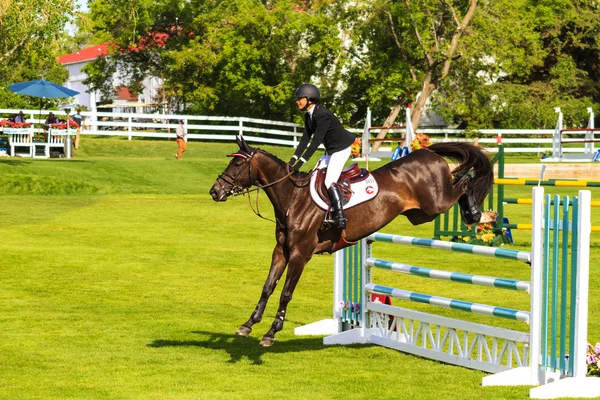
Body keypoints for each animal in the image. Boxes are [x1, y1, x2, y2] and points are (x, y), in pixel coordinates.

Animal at [210, 135, 492, 346]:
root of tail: (428, 152)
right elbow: (268, 287)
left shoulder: (300, 254)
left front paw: (271, 333)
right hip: (420, 214)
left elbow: (286, 293)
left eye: (237, 166)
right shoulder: (281, 251)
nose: (215, 192)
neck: (293, 199)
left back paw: (474, 212)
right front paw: (248, 324)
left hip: (436, 204)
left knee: (464, 181)